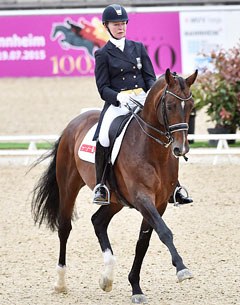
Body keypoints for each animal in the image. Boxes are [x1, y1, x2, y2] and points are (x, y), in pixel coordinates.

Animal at [31, 67, 197, 302]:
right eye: (170, 105)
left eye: (191, 106)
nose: (181, 149)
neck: (152, 150)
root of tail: (74, 123)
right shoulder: (142, 198)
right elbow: (164, 232)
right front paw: (182, 269)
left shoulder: (159, 202)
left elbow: (143, 242)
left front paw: (136, 288)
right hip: (68, 186)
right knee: (64, 228)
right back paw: (61, 283)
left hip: (116, 199)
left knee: (98, 221)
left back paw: (106, 278)